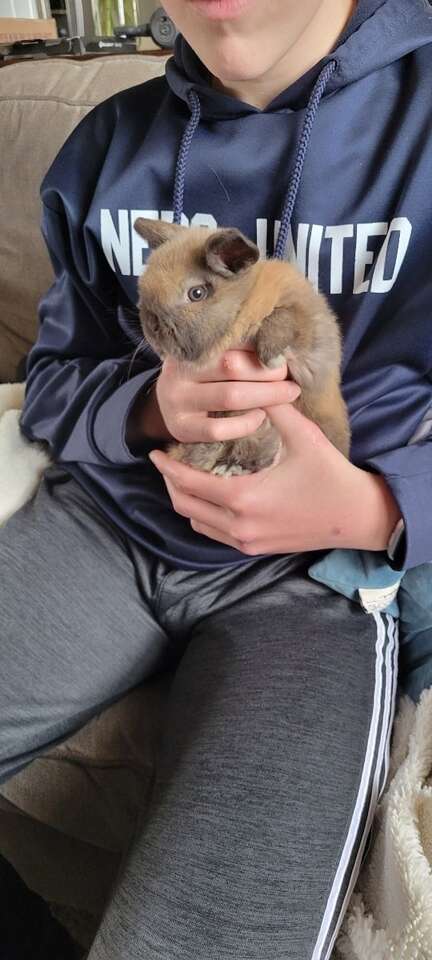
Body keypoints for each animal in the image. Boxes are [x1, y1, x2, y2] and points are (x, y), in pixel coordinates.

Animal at [135, 217, 352, 472]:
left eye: (196, 293)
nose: (152, 327)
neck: (244, 301)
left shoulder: (310, 323)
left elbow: (282, 317)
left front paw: (269, 356)